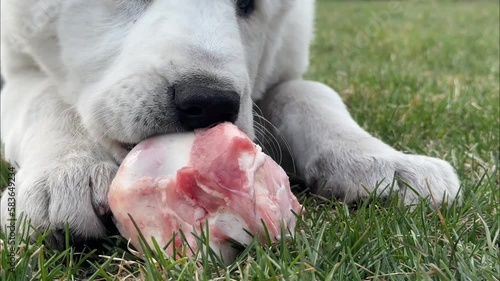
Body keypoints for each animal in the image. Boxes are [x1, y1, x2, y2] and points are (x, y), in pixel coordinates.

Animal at [0, 0, 460, 247]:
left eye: (248, 4)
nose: (208, 103)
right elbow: (46, 96)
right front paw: (67, 173)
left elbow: (308, 92)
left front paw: (385, 163)